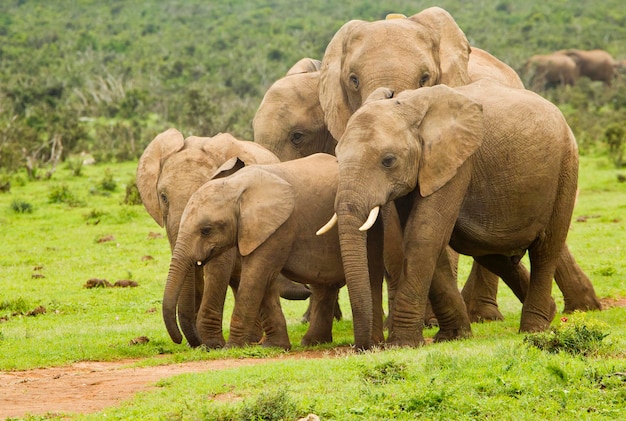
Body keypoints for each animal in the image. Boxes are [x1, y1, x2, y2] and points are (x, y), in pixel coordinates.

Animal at [138, 128, 310, 344]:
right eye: (163, 197)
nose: (180, 340)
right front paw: (203, 343)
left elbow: (218, 267)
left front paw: (212, 344)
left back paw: (252, 340)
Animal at [161, 153, 386, 348]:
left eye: (206, 230)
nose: (180, 340)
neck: (235, 186)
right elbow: (264, 279)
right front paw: (273, 347)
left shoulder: (280, 226)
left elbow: (256, 276)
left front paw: (231, 348)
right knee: (325, 286)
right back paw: (312, 342)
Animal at [330, 79, 576, 348]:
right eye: (337, 157)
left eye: (388, 160)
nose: (367, 346)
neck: (411, 105)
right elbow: (424, 236)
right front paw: (454, 336)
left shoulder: (457, 163)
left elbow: (424, 234)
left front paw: (402, 344)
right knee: (490, 252)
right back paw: (550, 312)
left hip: (566, 170)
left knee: (545, 250)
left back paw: (534, 328)